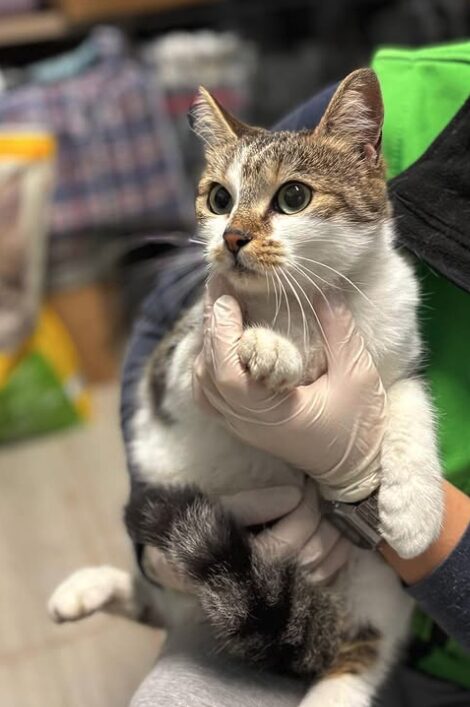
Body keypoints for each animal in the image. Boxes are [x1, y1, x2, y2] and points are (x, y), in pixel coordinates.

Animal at [48, 68, 444, 707]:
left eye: (293, 197)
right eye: (219, 198)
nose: (231, 237)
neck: (303, 300)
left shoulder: (393, 349)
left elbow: (407, 399)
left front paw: (415, 508)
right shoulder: (175, 358)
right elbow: (201, 354)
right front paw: (274, 348)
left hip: (375, 589)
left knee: (363, 649)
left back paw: (332, 692)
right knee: (158, 594)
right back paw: (89, 588)